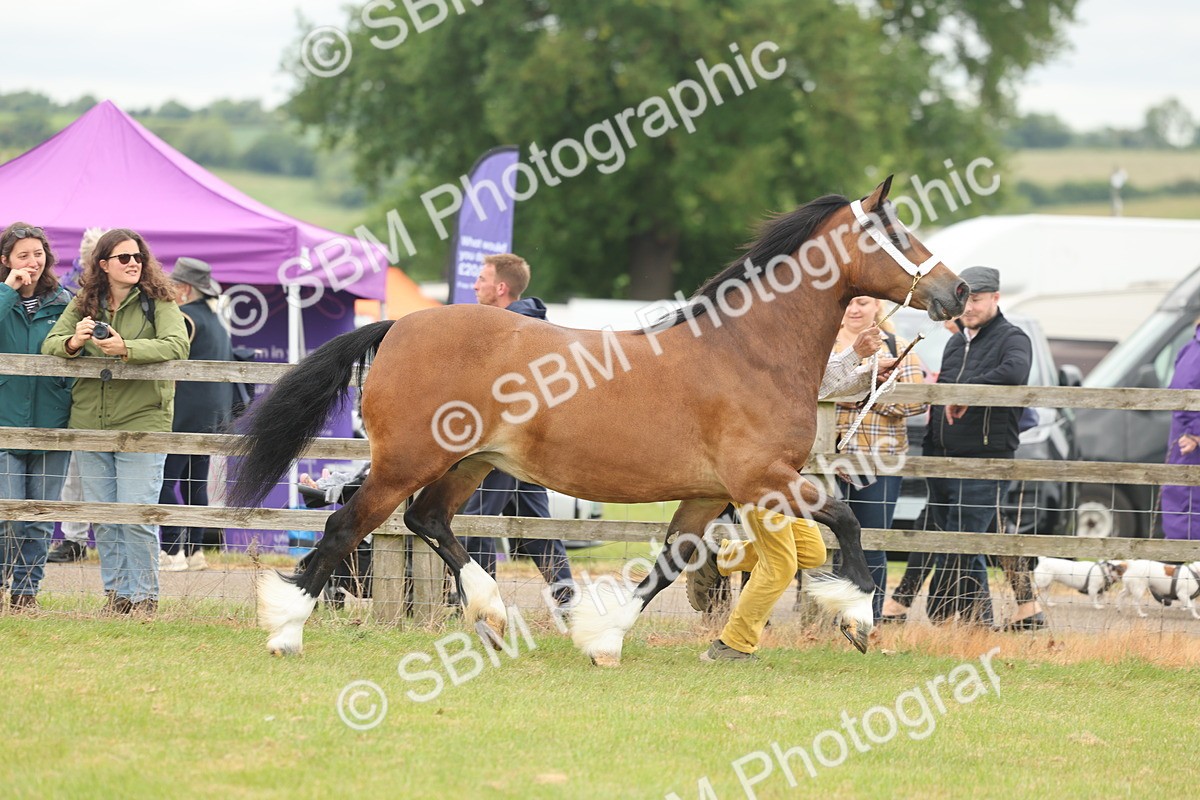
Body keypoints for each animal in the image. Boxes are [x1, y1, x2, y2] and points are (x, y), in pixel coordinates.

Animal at [228, 176, 967, 662]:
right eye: (896, 233)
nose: (957, 291)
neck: (747, 351)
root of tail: (400, 326)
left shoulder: (711, 493)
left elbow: (670, 562)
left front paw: (601, 637)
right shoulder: (765, 478)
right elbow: (846, 521)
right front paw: (859, 618)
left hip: (471, 462)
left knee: (427, 520)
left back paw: (491, 615)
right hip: (407, 460)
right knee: (346, 527)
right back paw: (286, 631)